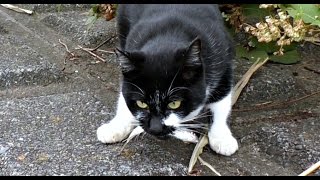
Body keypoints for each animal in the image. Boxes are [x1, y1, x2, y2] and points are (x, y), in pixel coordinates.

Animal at [97, 4, 238, 156]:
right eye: (141, 103)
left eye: (174, 104)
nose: (156, 128)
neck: (169, 36)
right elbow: (124, 94)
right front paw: (116, 126)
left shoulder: (222, 58)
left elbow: (221, 100)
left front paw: (221, 137)